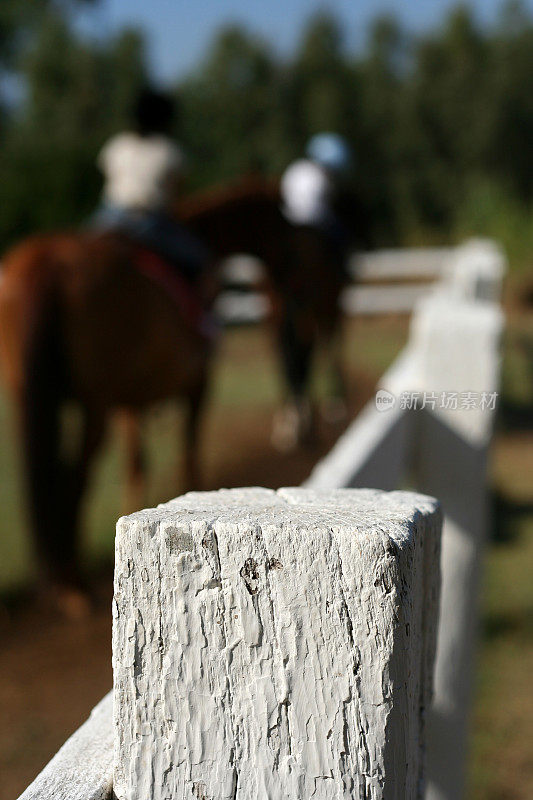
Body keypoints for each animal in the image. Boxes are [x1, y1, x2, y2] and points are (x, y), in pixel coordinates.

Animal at [0, 178, 348, 608]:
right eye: (286, 233)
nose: (298, 287)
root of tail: (49, 262)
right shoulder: (196, 384)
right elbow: (188, 455)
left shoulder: (130, 401)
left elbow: (137, 466)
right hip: (93, 403)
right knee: (74, 478)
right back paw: (73, 585)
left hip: (30, 398)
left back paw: (63, 580)